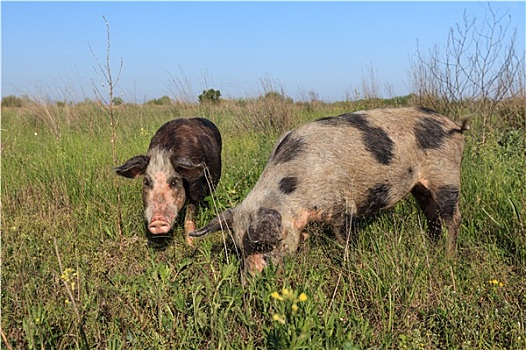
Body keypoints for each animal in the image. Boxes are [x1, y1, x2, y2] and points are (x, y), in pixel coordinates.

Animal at [115, 118, 223, 249]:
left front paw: (190, 245)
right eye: (146, 181)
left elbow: (189, 218)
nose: (157, 220)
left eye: (174, 182)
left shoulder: (196, 191)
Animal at [192, 106, 472, 274]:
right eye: (239, 248)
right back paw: (433, 247)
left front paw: (350, 266)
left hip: (446, 176)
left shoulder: (342, 205)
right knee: (432, 217)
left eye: (262, 246)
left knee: (452, 218)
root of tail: (454, 125)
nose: (247, 282)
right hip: (421, 187)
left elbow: (345, 238)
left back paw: (448, 257)